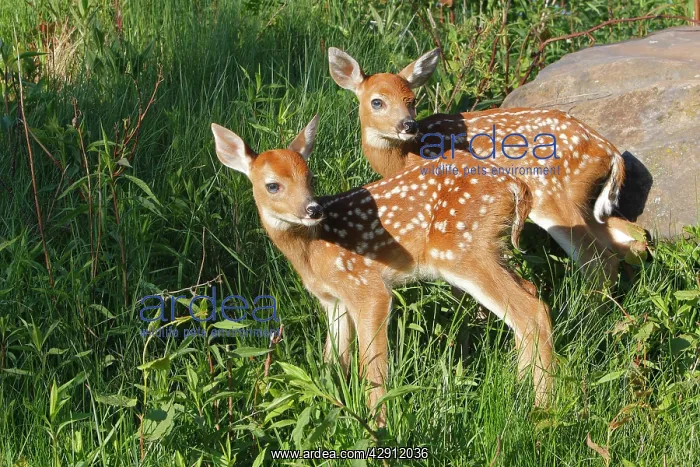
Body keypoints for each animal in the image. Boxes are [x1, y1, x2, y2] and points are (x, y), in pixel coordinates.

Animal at [211, 115, 554, 425]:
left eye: (310, 179)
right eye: (273, 186)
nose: (312, 209)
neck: (313, 251)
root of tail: (515, 185)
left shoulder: (366, 286)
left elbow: (371, 366)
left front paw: (379, 424)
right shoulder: (333, 300)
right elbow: (332, 362)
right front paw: (330, 408)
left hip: (463, 252)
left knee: (531, 312)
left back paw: (541, 408)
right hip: (492, 249)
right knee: (531, 295)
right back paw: (523, 390)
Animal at [328, 47, 648, 285]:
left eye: (412, 100)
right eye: (377, 102)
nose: (408, 125)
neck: (405, 156)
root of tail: (609, 150)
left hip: (553, 194)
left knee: (597, 256)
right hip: (584, 199)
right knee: (630, 235)